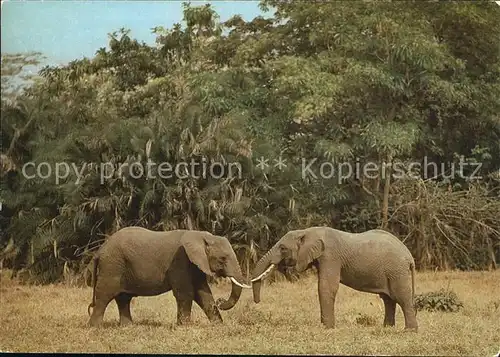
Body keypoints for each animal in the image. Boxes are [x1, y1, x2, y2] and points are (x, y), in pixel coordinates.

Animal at [87, 227, 250, 326]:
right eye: (222, 259)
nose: (221, 301)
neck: (200, 235)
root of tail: (100, 250)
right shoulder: (179, 261)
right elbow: (186, 292)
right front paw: (184, 326)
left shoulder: (194, 263)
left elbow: (203, 293)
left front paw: (218, 325)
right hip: (112, 266)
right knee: (104, 296)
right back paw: (95, 327)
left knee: (123, 298)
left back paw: (128, 327)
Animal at [250, 227, 418, 330]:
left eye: (283, 248)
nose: (257, 302)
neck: (309, 231)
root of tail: (410, 257)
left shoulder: (330, 256)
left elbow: (326, 286)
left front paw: (327, 328)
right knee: (388, 299)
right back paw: (387, 328)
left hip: (397, 271)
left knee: (401, 297)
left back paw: (409, 331)